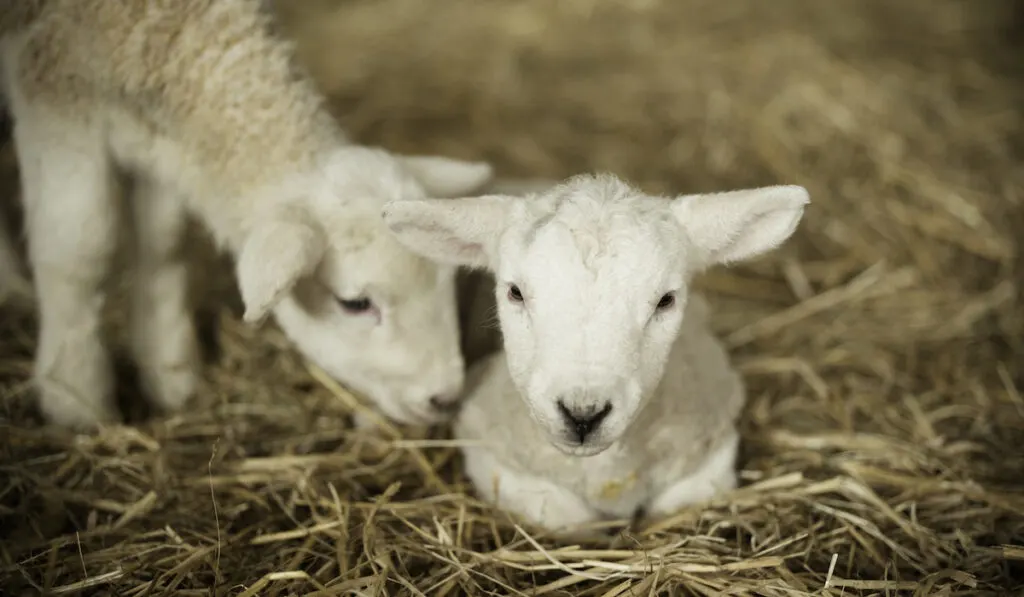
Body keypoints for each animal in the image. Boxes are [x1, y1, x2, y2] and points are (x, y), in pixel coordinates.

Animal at [0, 0, 495, 430]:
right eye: (355, 304)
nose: (445, 398)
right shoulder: (55, 93)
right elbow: (81, 249)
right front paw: (75, 398)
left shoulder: (159, 137)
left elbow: (164, 244)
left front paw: (172, 376)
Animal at [385, 174, 806, 532]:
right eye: (514, 292)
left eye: (666, 300)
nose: (583, 414)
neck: (604, 473)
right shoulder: (491, 453)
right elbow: (569, 518)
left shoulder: (712, 451)